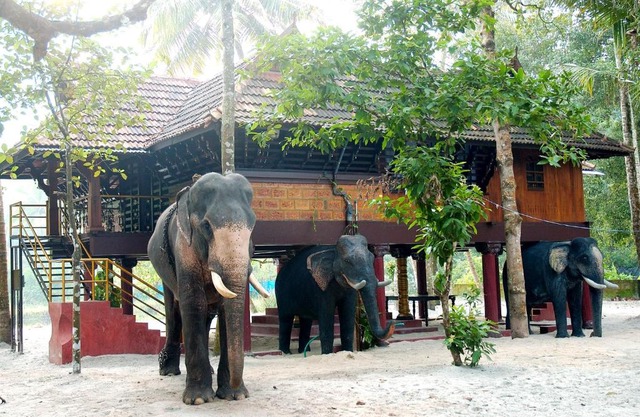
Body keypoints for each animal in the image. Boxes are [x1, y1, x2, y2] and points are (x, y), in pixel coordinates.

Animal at [148, 172, 268, 405]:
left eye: (253, 227)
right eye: (206, 227)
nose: (238, 387)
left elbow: (224, 310)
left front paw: (234, 396)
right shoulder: (184, 248)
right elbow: (193, 303)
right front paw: (198, 400)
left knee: (207, 314)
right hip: (164, 273)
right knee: (173, 310)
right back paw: (168, 371)